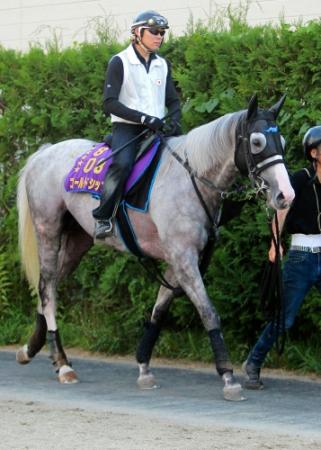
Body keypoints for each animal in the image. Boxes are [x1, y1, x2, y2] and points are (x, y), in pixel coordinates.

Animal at [16, 95, 292, 400]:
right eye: (256, 142)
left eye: (282, 141)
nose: (285, 195)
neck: (191, 178)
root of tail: (44, 153)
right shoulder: (184, 260)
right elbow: (208, 312)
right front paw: (228, 376)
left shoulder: (177, 262)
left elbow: (158, 312)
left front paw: (144, 367)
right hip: (48, 230)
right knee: (47, 288)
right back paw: (62, 363)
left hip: (78, 240)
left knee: (49, 286)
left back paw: (31, 348)